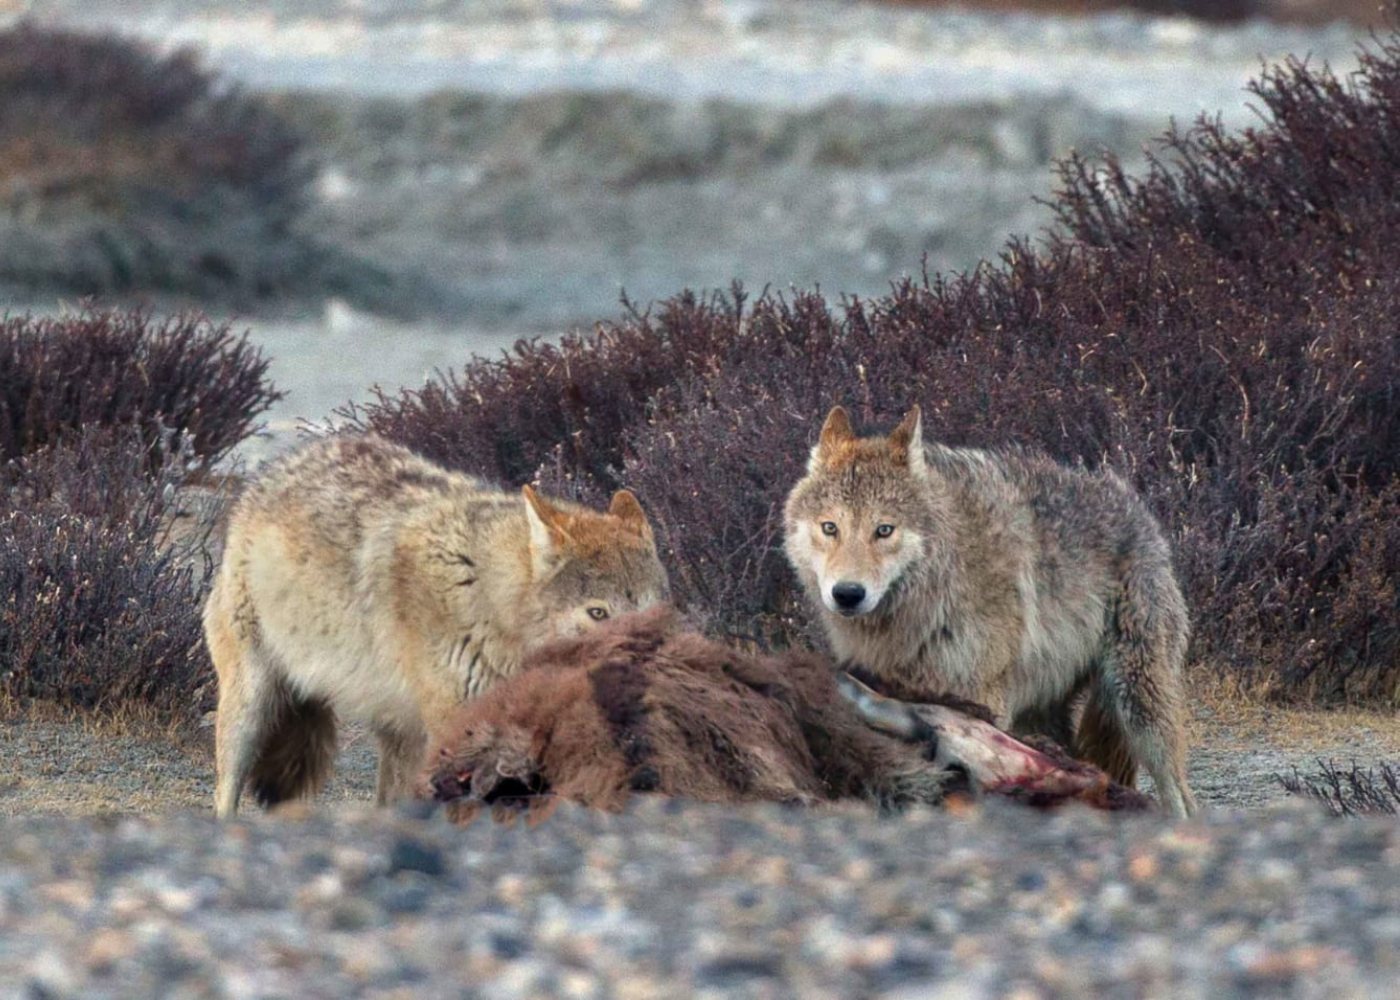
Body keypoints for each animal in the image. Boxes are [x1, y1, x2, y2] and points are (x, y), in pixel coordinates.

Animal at [203, 434, 669, 818]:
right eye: (598, 613)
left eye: (654, 610)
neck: (484, 593)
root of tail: (269, 474)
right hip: (250, 707)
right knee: (224, 794)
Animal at [783, 405, 1197, 816]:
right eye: (830, 528)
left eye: (884, 530)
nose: (847, 594)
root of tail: (1138, 507)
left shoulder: (981, 698)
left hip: (1138, 702)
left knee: (1178, 792)